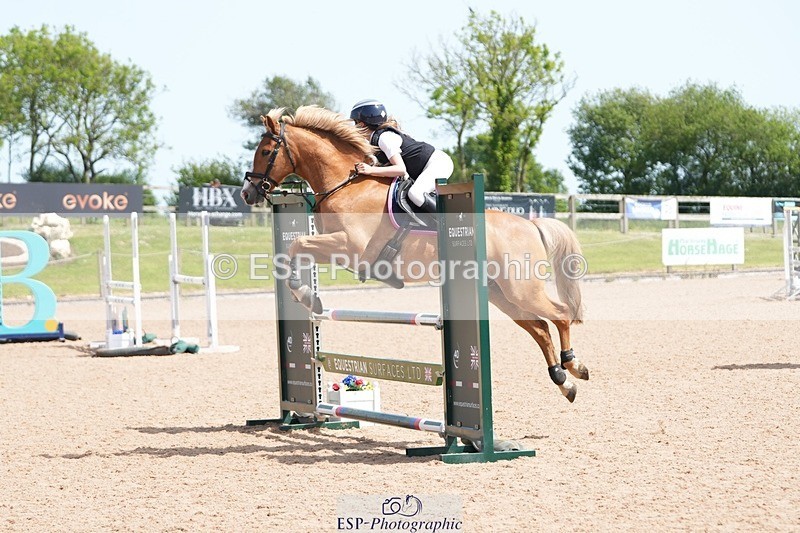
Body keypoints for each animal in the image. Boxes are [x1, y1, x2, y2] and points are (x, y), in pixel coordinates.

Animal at [241, 106, 589, 402]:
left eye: (266, 152)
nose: (247, 193)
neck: (345, 186)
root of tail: (529, 224)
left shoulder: (350, 247)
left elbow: (298, 245)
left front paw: (306, 295)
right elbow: (295, 250)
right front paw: (307, 295)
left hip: (520, 288)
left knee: (559, 314)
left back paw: (574, 365)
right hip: (500, 293)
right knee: (540, 328)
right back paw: (564, 381)